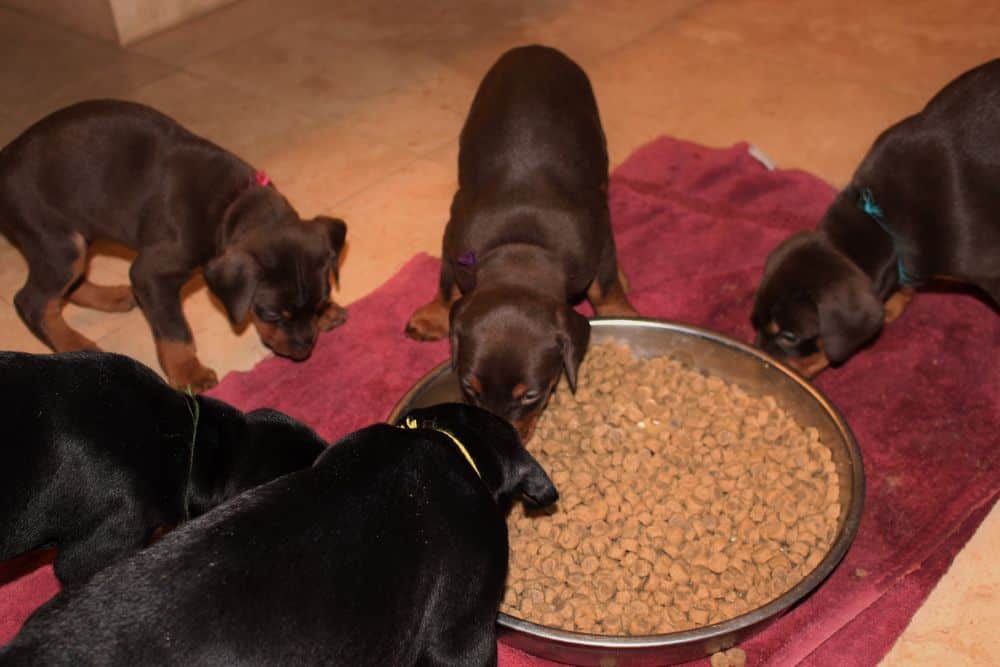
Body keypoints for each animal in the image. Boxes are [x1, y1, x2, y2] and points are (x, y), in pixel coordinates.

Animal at [0, 99, 348, 392]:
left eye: (318, 302)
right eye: (273, 314)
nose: (304, 349)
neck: (229, 204)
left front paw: (327, 313)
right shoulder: (149, 273)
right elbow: (174, 329)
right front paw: (188, 372)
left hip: (78, 237)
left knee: (66, 286)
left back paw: (113, 297)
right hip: (58, 240)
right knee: (31, 301)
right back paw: (76, 346)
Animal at [404, 45, 632, 444]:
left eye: (530, 395)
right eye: (469, 387)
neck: (522, 247)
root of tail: (535, 48)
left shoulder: (600, 240)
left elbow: (606, 288)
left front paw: (622, 309)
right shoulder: (454, 236)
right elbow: (446, 284)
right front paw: (433, 315)